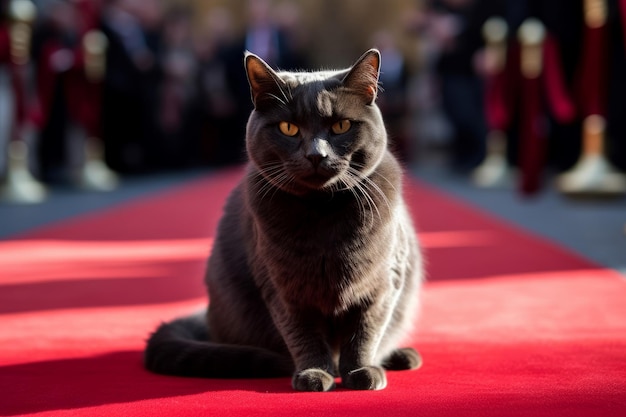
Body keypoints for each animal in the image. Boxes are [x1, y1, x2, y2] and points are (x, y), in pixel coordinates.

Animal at [144, 48, 422, 390]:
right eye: (288, 128)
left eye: (341, 126)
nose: (316, 155)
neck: (323, 214)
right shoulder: (281, 288)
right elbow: (302, 333)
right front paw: (315, 373)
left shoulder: (383, 283)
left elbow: (365, 332)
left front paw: (361, 372)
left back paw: (401, 356)